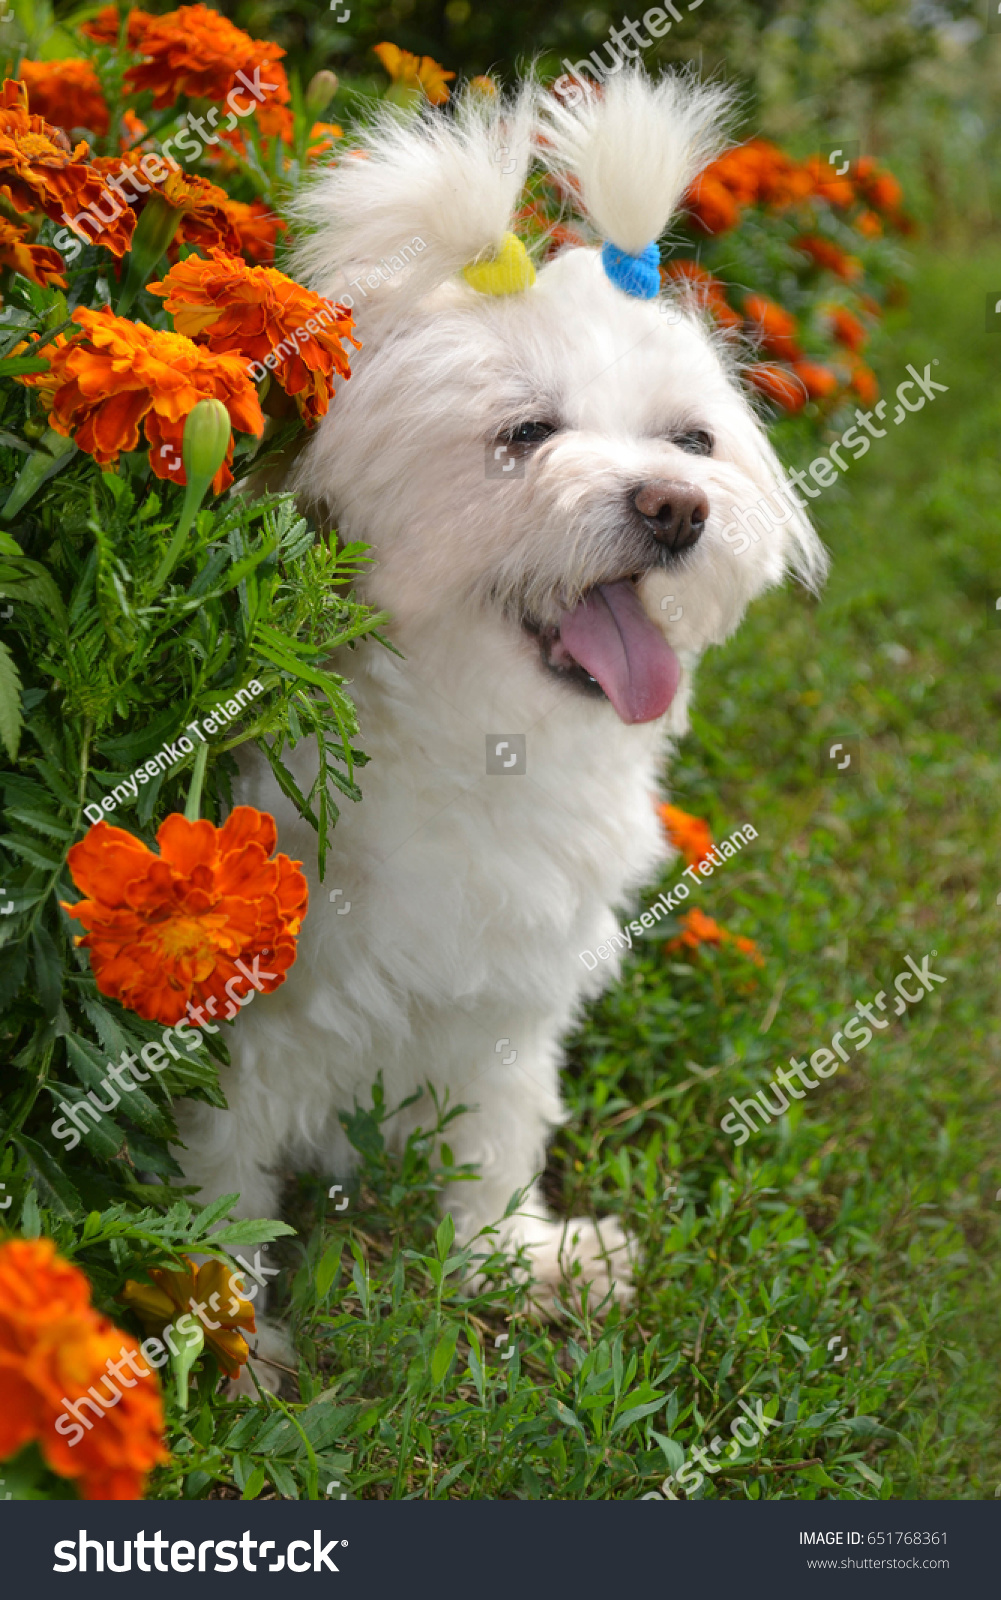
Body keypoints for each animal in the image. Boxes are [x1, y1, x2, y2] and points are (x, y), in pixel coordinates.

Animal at [173, 65, 825, 1363]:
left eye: (691, 439)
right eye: (525, 434)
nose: (675, 505)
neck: (488, 746)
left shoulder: (509, 1003)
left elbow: (493, 1136)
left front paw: (510, 1262)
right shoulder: (242, 1027)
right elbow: (224, 1178)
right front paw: (231, 1338)